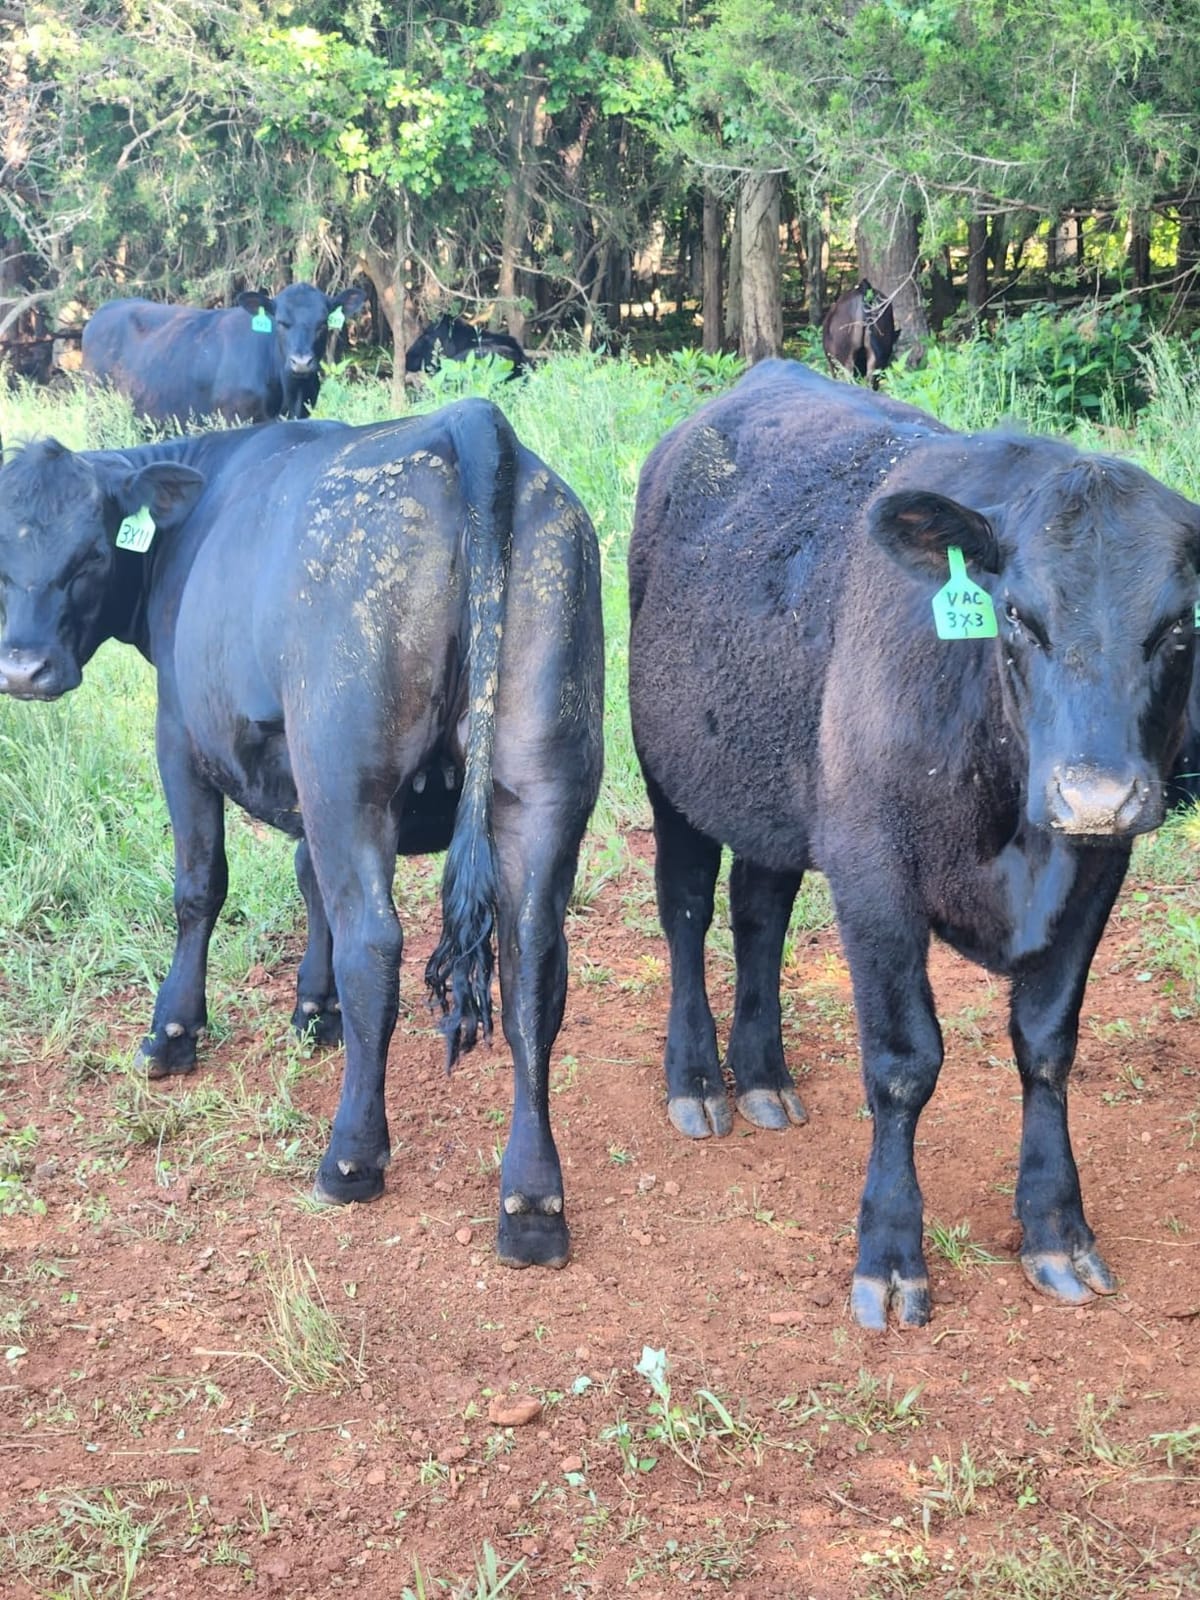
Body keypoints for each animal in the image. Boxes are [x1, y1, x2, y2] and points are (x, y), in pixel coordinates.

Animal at [0, 399, 603, 1267]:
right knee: (534, 968)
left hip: (348, 771)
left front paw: (171, 1033)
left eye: (90, 554)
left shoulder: (181, 735)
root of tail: (472, 423)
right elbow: (308, 876)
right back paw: (531, 1203)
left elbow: (200, 887)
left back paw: (351, 1156)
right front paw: (314, 1013)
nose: (23, 668)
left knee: (375, 943)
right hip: (544, 776)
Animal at [81, 282, 367, 425]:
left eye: (322, 323)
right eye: (281, 322)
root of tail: (105, 309)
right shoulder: (234, 417)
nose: (302, 362)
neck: (289, 395)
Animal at [628, 360, 1199, 1328]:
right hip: (672, 772)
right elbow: (904, 1062)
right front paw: (890, 1253)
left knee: (758, 915)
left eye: (1179, 624)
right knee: (688, 912)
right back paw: (699, 1082)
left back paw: (764, 1075)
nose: (1094, 792)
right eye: (1019, 616)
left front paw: (1056, 1228)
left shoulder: (1097, 870)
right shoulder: (872, 870)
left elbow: (1047, 1045)